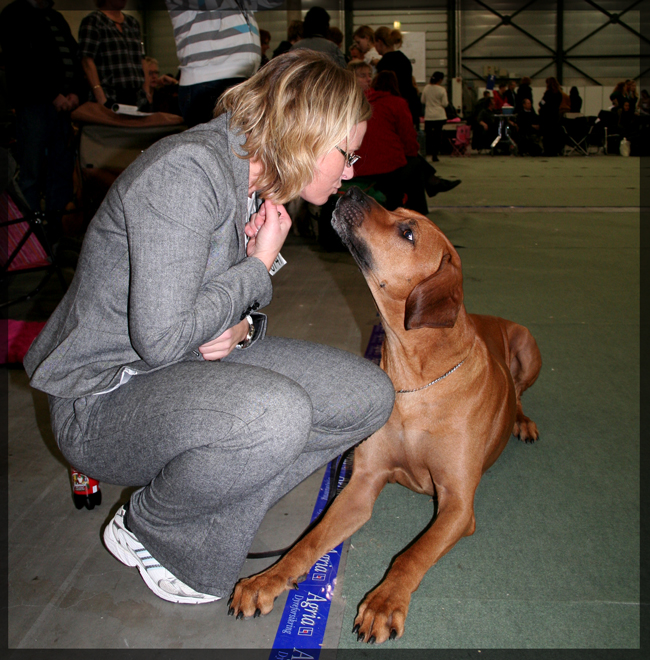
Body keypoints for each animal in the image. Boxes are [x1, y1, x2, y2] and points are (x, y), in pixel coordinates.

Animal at [229, 186, 540, 644]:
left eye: (408, 232)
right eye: (398, 210)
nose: (352, 190)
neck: (417, 378)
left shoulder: (458, 506)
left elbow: (411, 555)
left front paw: (384, 602)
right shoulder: (360, 484)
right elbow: (309, 541)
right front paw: (266, 579)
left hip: (527, 344)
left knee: (518, 391)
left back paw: (522, 420)